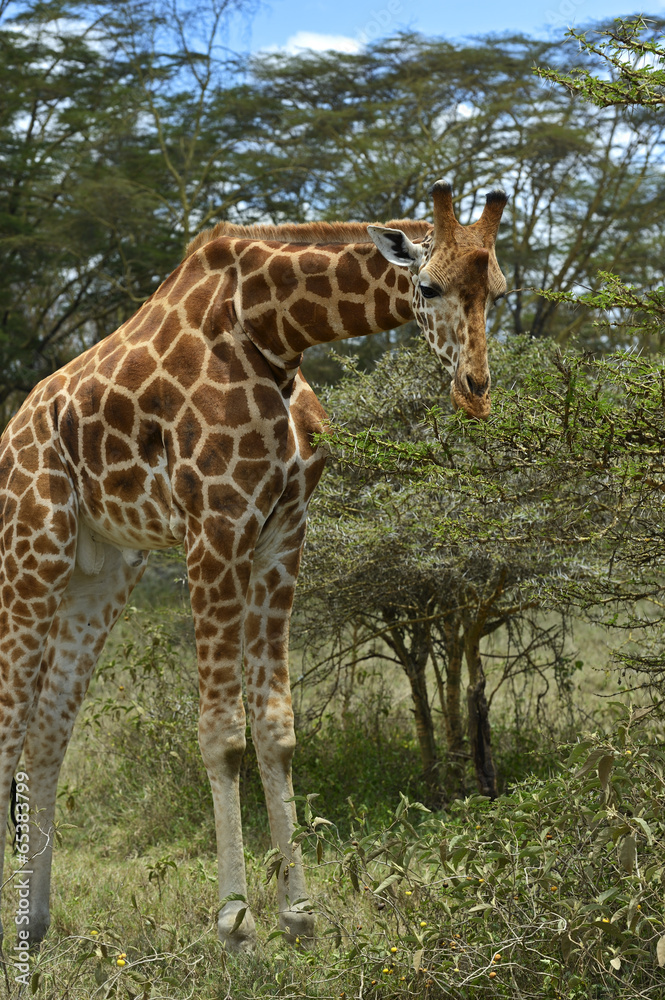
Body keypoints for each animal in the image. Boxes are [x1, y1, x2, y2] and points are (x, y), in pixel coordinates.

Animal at [0, 181, 507, 952]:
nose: (474, 389)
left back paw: (33, 923)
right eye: (427, 285)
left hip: (102, 570)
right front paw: (235, 920)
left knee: (47, 730)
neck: (273, 335)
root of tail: (10, 435)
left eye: (499, 291)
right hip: (31, 550)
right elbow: (221, 736)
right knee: (9, 726)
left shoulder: (282, 536)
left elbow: (276, 728)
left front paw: (299, 913)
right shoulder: (214, 527)